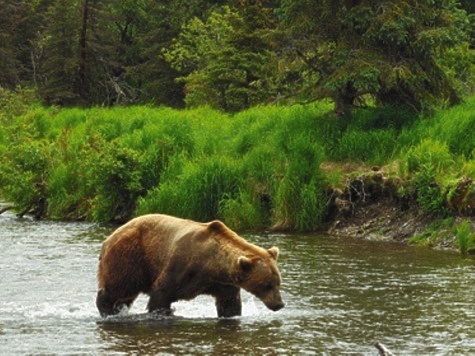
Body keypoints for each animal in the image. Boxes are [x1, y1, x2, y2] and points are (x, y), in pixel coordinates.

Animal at [95, 214, 284, 318]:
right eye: (267, 284)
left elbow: (229, 304)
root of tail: (108, 238)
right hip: (131, 256)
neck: (212, 265)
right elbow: (161, 294)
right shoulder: (180, 266)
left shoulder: (223, 284)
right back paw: (107, 309)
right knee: (120, 286)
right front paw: (164, 312)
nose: (280, 304)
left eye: (278, 283)